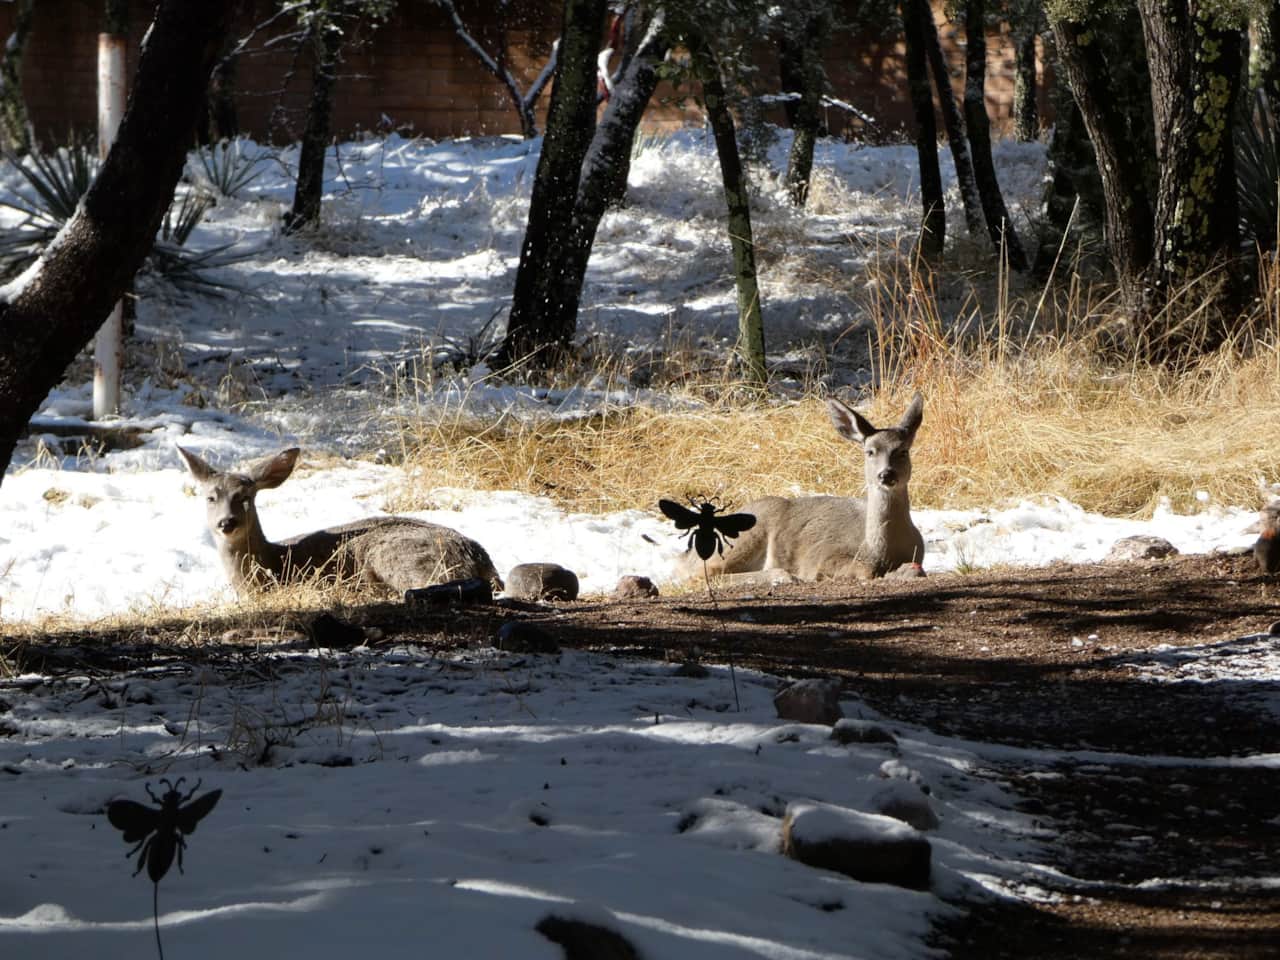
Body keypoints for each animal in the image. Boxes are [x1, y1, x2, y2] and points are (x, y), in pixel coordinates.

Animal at [177, 446, 502, 597]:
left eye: (246, 497)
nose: (226, 523)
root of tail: (481, 557)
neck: (274, 561)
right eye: (210, 497)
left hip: (401, 557)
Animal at [681, 393, 925, 582]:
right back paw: (784, 576)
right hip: (745, 536)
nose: (886, 474)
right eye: (870, 451)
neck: (881, 550)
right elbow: (863, 570)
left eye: (903, 451)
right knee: (702, 575)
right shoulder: (825, 555)